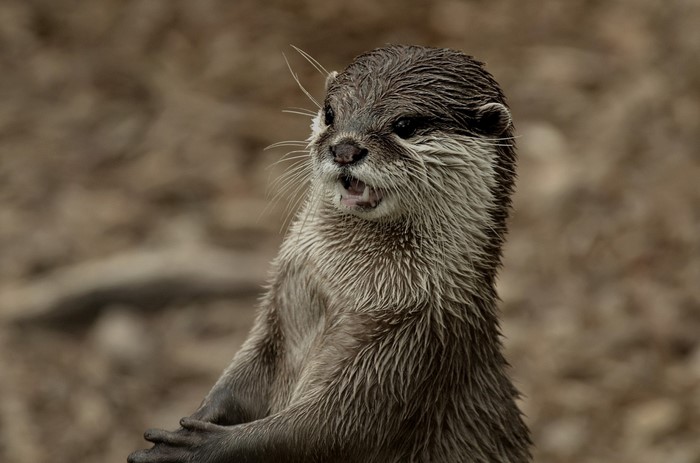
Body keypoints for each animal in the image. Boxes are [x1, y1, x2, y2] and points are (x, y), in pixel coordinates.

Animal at [128, 45, 531, 463]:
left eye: (405, 125)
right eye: (331, 113)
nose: (345, 148)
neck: (341, 288)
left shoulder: (415, 348)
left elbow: (327, 430)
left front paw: (197, 447)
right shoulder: (277, 311)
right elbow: (241, 378)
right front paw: (194, 418)